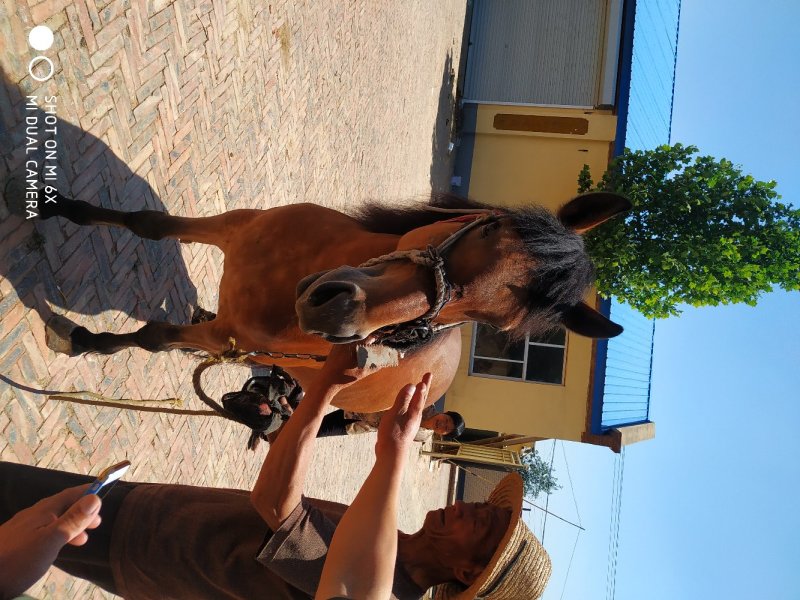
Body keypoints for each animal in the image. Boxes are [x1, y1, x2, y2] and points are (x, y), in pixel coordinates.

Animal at [32, 187, 630, 413]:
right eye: (488, 227)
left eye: (487, 320)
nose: (338, 307)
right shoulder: (235, 226)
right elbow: (148, 223)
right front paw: (54, 205)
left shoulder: (226, 336)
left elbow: (154, 337)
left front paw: (79, 338)